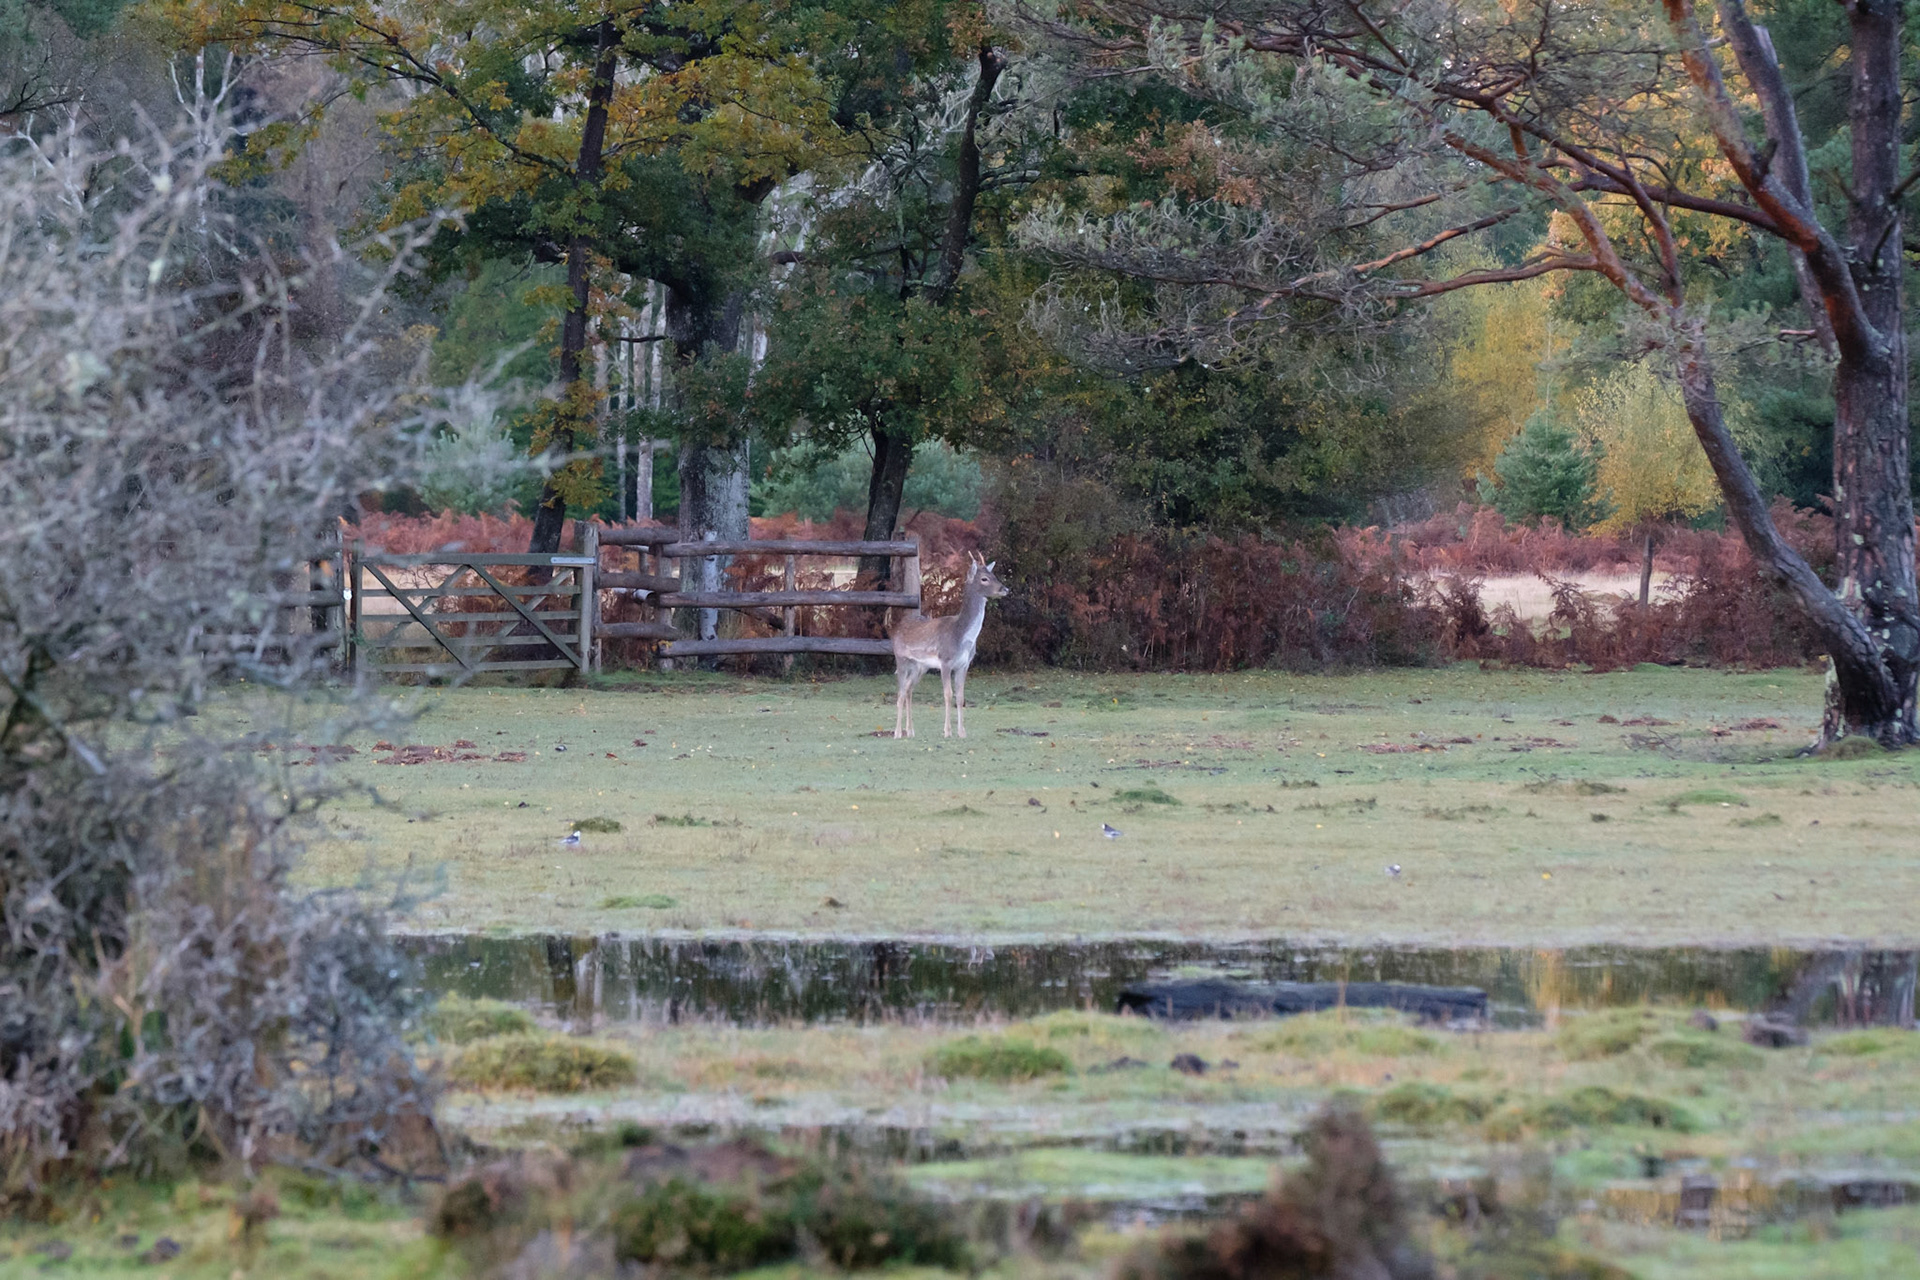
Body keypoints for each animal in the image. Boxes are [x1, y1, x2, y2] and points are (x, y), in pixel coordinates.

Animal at [891, 551, 1009, 739]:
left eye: (994, 575)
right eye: (984, 578)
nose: (1005, 589)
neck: (961, 637)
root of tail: (895, 630)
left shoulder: (964, 664)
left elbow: (960, 697)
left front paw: (962, 732)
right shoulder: (945, 661)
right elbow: (948, 694)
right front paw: (947, 731)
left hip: (920, 666)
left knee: (909, 690)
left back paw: (910, 731)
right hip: (901, 659)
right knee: (901, 693)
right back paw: (897, 733)